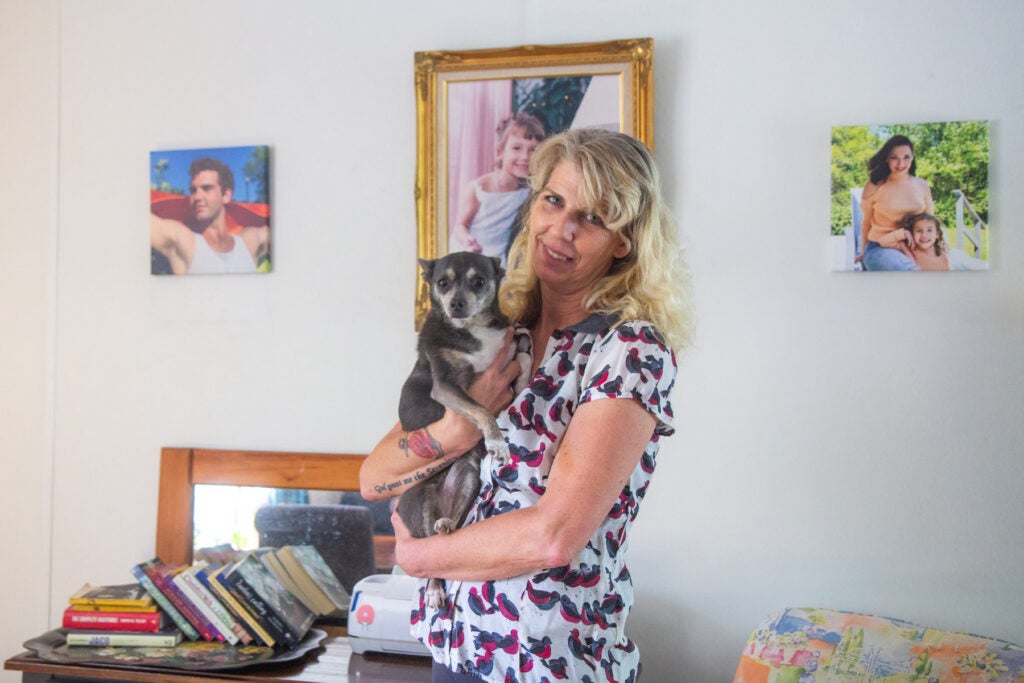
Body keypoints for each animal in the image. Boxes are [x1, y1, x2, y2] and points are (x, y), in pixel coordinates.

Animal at [395, 252, 528, 610]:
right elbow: (482, 409)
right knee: (430, 551)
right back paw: (434, 589)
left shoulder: (508, 361)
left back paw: (447, 523)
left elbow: (524, 363)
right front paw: (496, 441)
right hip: (420, 501)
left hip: (469, 478)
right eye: (442, 282)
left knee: (452, 523)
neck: (473, 329)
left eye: (479, 281)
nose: (456, 303)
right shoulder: (447, 386)